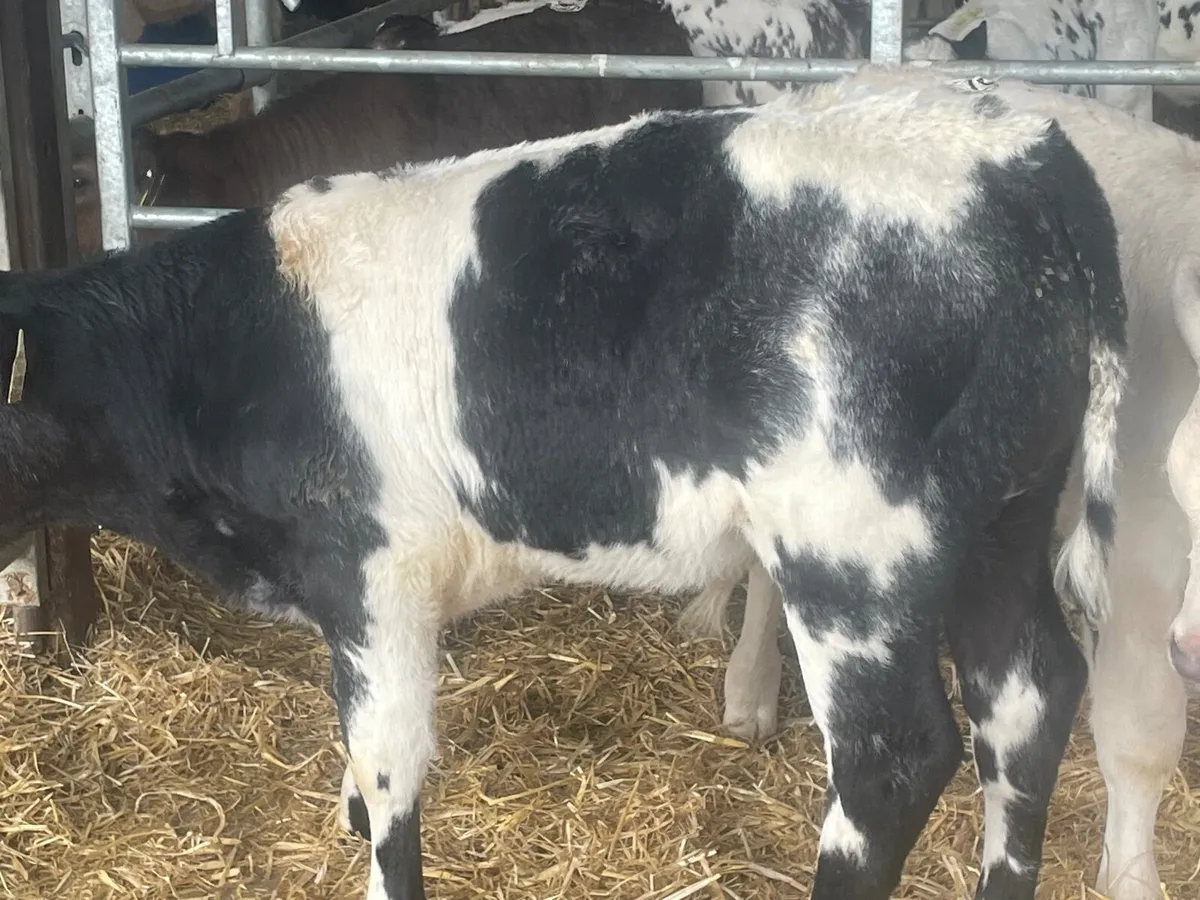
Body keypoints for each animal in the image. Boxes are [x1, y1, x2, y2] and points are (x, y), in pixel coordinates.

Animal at [0, 68, 1126, 899]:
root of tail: (1019, 152)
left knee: (893, 758)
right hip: (1005, 515)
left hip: (854, 547)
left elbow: (388, 767)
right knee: (1028, 697)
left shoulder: (373, 575)